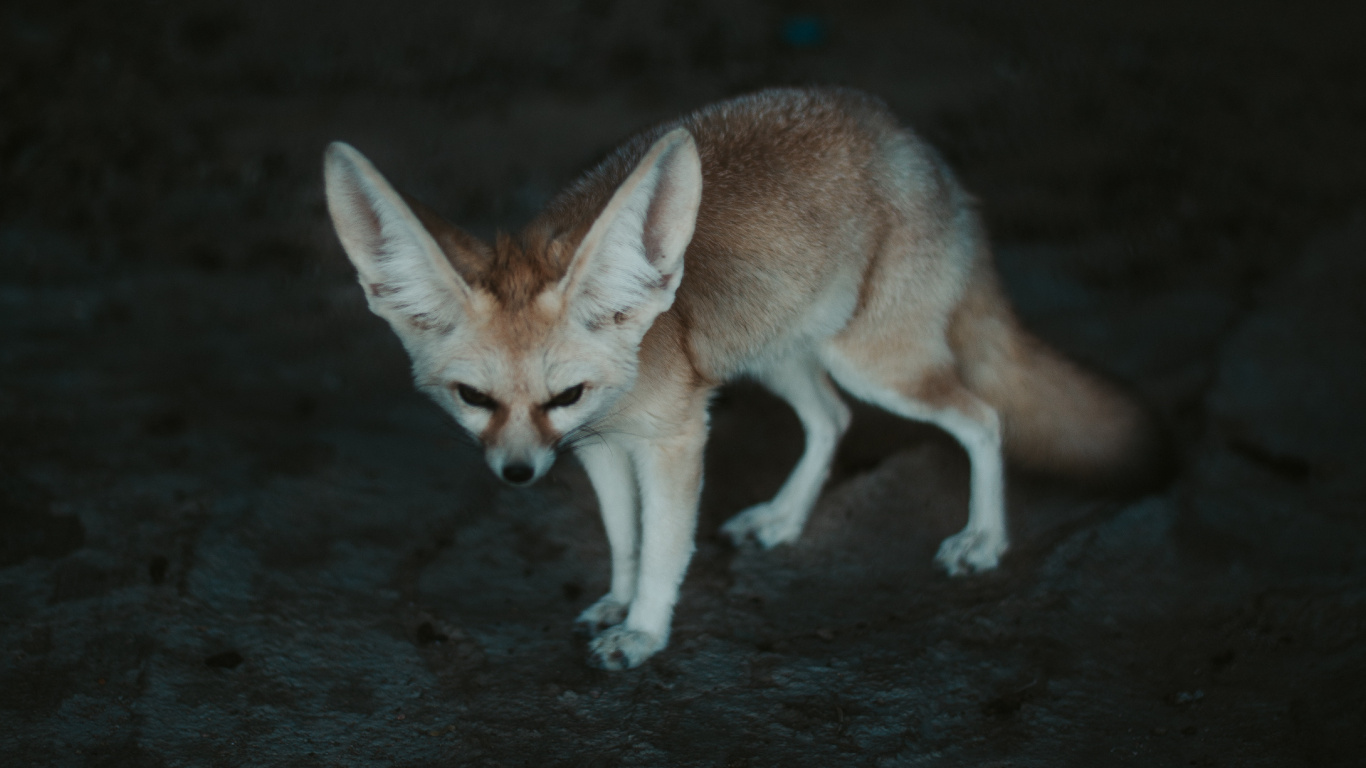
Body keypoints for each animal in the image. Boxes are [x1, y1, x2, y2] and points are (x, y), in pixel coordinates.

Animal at [322, 87, 1160, 670]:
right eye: (474, 399)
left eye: (565, 394)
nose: (517, 474)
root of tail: (919, 148)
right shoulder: (599, 447)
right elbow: (623, 537)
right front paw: (618, 601)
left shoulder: (673, 439)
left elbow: (664, 544)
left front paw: (645, 630)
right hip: (783, 357)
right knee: (832, 421)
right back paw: (784, 519)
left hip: (874, 364)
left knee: (983, 417)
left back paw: (983, 538)